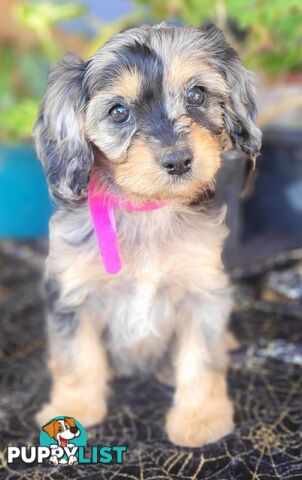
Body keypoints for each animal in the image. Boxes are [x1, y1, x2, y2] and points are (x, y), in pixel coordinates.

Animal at [33, 24, 262, 448]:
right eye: (118, 112)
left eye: (196, 94)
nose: (178, 161)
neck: (146, 210)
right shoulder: (73, 293)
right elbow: (76, 359)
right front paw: (73, 408)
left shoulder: (202, 290)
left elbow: (201, 358)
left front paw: (200, 417)